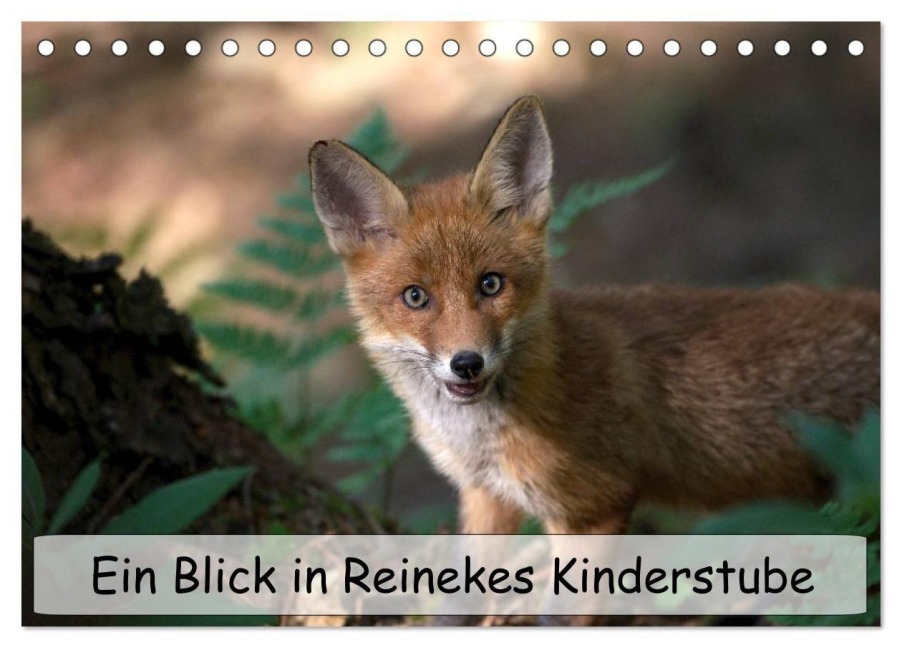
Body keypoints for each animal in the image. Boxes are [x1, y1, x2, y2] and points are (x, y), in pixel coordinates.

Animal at [308, 96, 880, 537]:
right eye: (415, 297)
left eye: (491, 284)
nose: (466, 363)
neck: (483, 441)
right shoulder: (486, 497)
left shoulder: (592, 508)